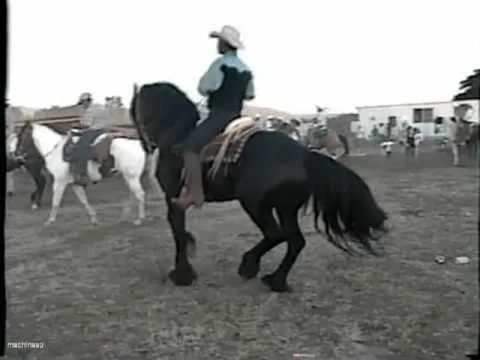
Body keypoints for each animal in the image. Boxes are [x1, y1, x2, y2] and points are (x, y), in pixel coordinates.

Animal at [15, 122, 161, 226]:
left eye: (22, 136)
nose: (17, 155)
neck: (56, 151)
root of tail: (141, 143)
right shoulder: (75, 183)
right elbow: (84, 201)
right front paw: (93, 219)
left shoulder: (59, 182)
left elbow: (55, 201)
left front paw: (50, 220)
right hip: (128, 176)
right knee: (134, 194)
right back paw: (125, 216)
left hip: (131, 177)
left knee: (140, 195)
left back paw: (140, 219)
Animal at [129, 82, 388, 292]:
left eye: (135, 108)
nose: (144, 141)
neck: (176, 135)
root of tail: (304, 154)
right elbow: (181, 233)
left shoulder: (173, 198)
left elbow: (178, 232)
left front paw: (182, 274)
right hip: (285, 207)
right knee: (295, 240)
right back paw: (276, 281)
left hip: (255, 203)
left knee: (276, 234)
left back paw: (249, 266)